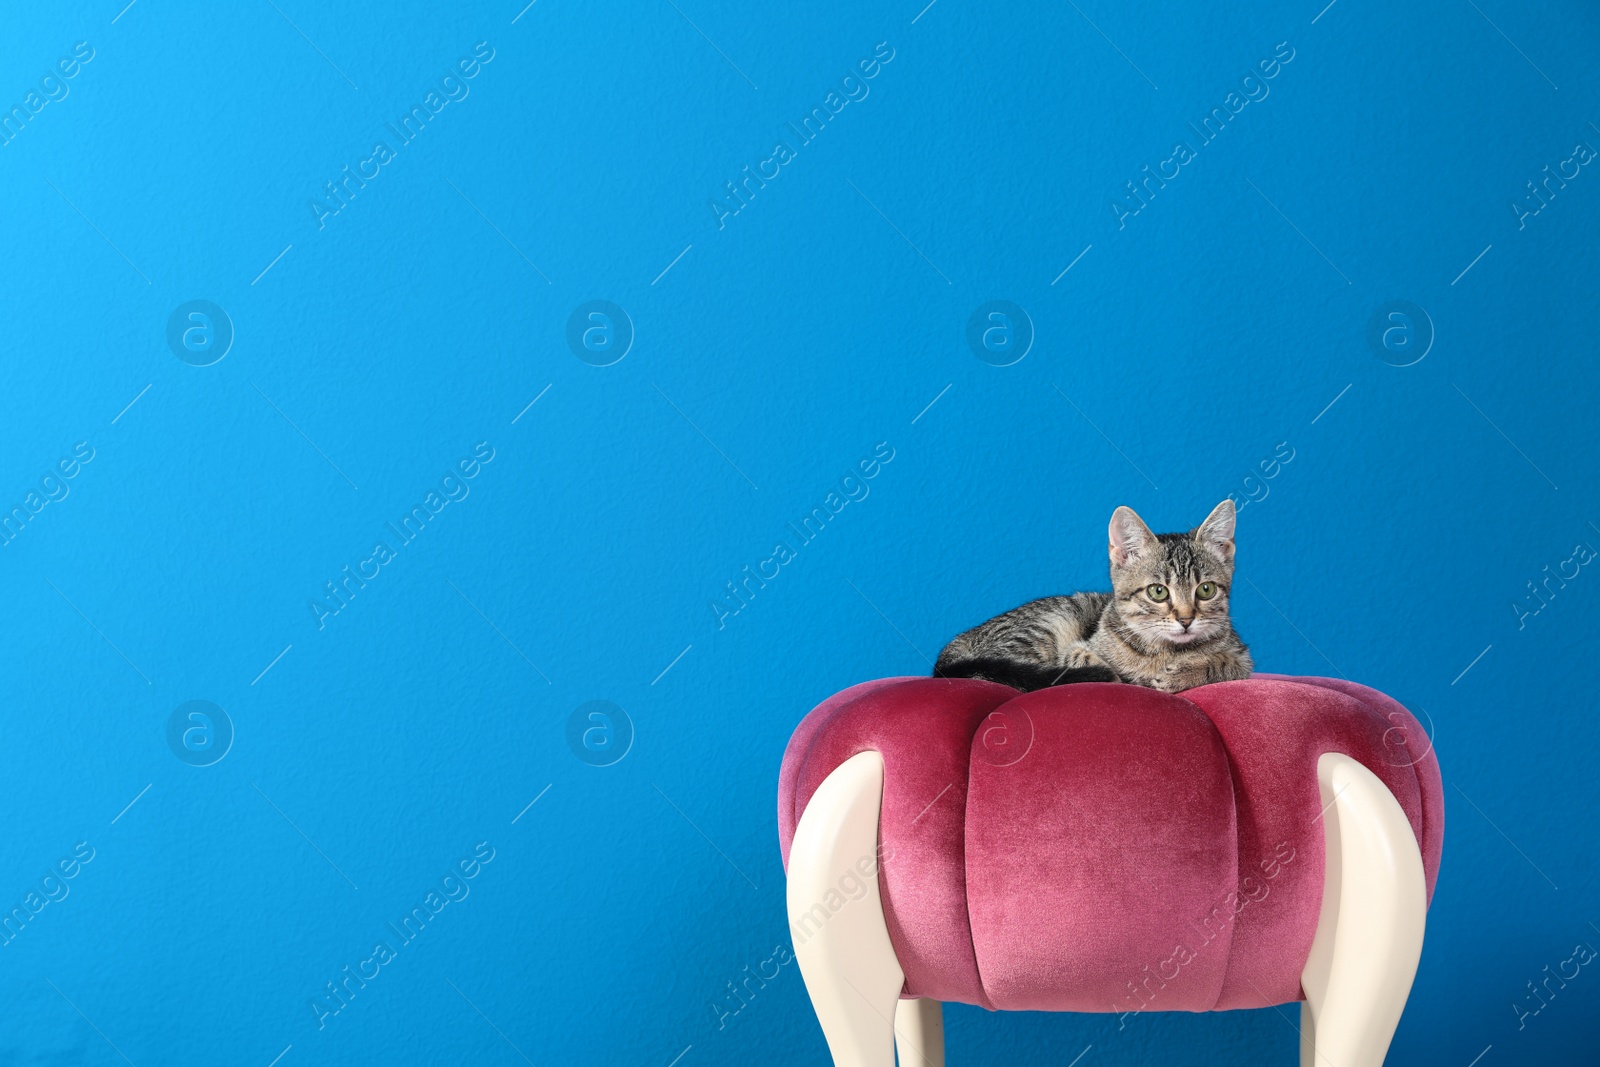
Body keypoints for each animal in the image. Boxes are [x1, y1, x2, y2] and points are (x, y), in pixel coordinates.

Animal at [934, 502, 1254, 694]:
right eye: (1158, 591)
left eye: (1206, 590)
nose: (1186, 620)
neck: (1166, 650)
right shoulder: (1075, 647)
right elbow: (1086, 659)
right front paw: (1110, 670)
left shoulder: (1244, 658)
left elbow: (1225, 664)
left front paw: (1184, 673)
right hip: (1049, 623)